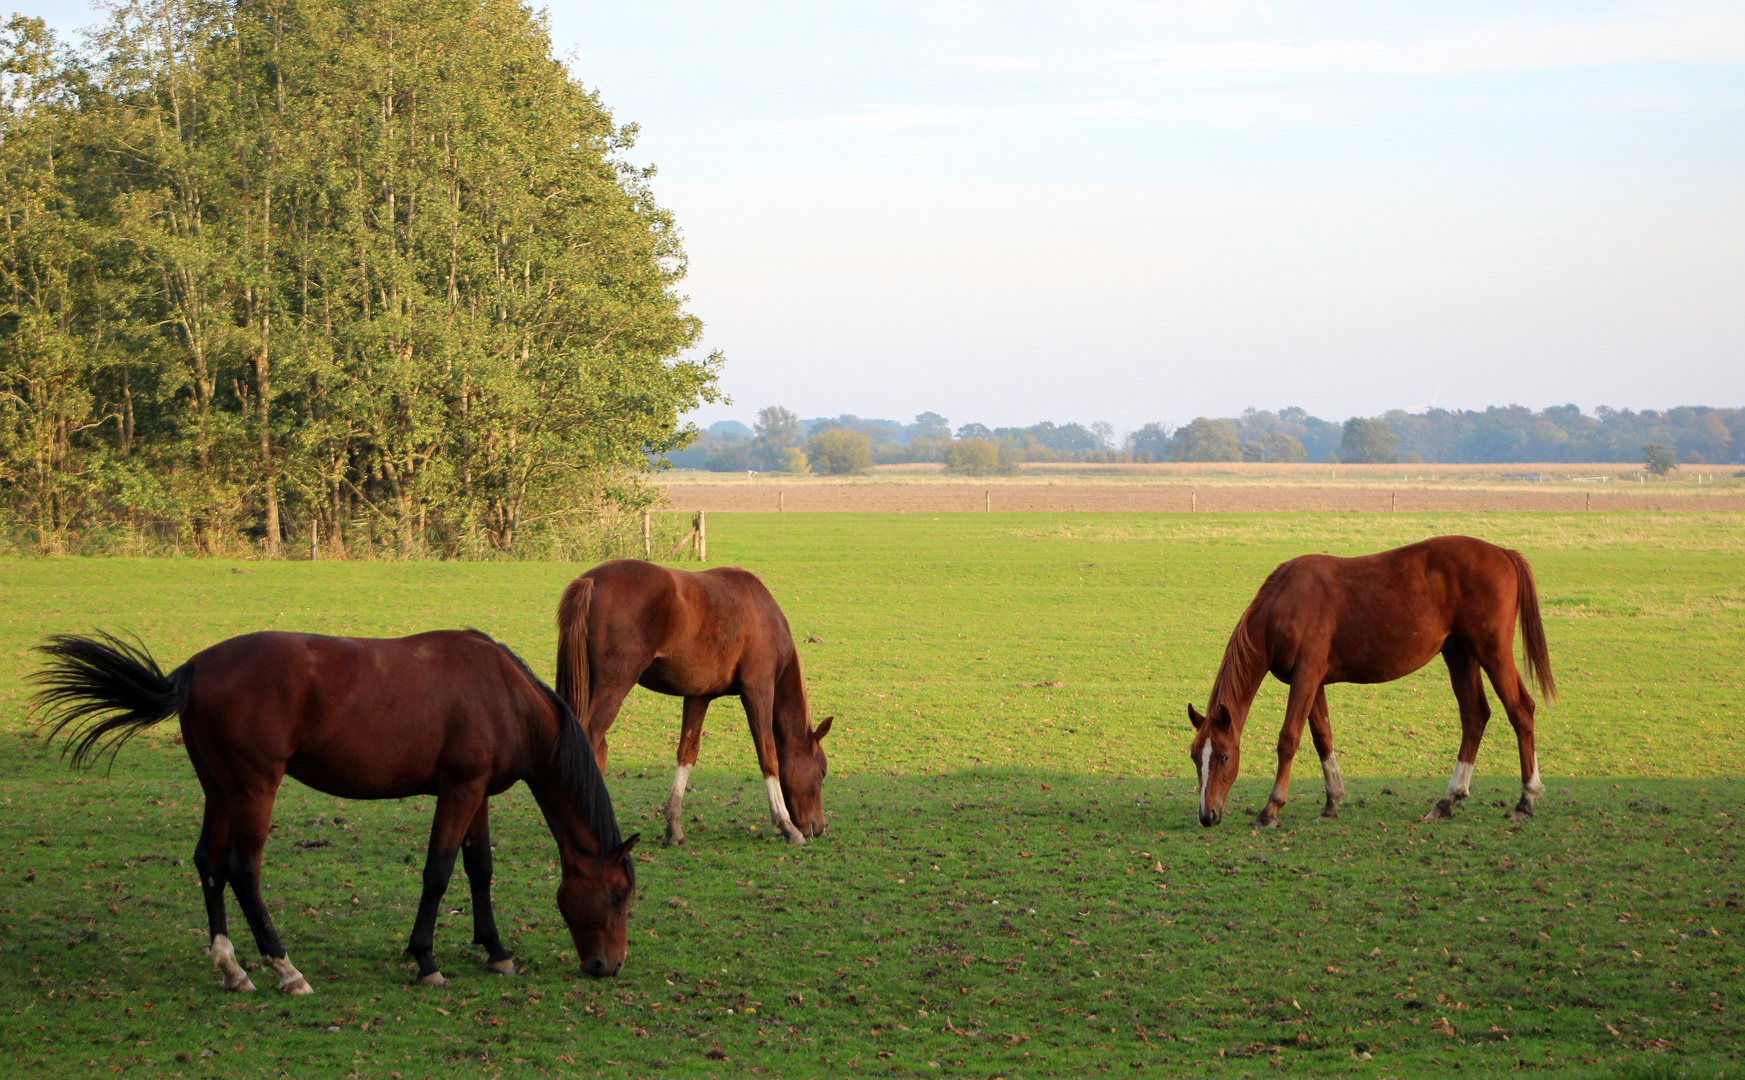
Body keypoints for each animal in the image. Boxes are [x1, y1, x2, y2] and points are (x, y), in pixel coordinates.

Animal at [34, 628, 638, 991]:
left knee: (208, 864)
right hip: (253, 790)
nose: (608, 966)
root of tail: (194, 669)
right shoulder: (460, 790)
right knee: (241, 870)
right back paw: (285, 968)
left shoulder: (478, 792)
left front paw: (495, 950)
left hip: (219, 790)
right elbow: (439, 872)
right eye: (617, 894)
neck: (505, 695)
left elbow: (479, 870)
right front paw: (426, 960)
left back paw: (232, 967)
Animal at [558, 561, 830, 847]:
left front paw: (673, 828)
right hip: (615, 685)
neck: (764, 613)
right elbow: (768, 756)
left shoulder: (698, 697)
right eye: (822, 771)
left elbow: (687, 754)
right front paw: (786, 826)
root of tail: (592, 579)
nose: (819, 827)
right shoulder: (758, 690)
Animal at [1186, 537, 1556, 827]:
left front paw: (1271, 809)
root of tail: (1503, 553)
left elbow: (1288, 739)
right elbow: (1322, 737)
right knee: (1475, 716)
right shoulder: (1313, 681)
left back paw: (1526, 800)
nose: (1208, 815)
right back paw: (1446, 802)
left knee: (1520, 710)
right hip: (1459, 654)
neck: (1286, 601)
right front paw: (1332, 802)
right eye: (1194, 757)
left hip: (1491, 651)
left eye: (1224, 757)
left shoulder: (1306, 677)